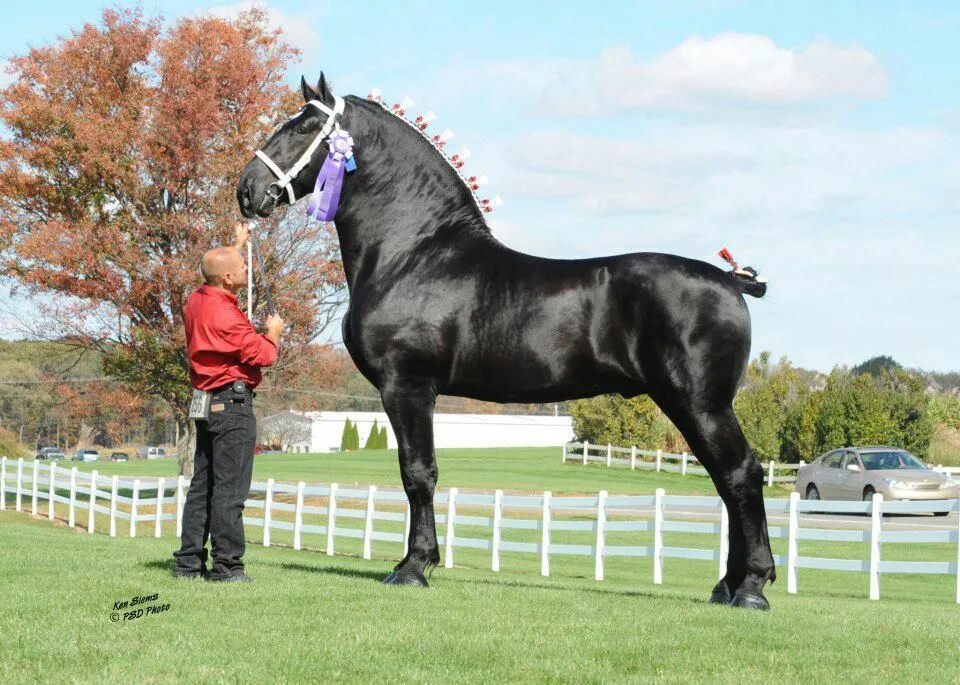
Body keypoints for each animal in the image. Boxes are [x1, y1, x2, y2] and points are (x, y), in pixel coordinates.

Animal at [236, 76, 776, 608]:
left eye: (304, 126)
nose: (247, 189)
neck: (415, 254)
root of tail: (730, 281)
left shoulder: (406, 386)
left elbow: (418, 472)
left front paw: (413, 567)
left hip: (701, 403)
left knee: (741, 475)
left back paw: (751, 587)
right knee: (726, 481)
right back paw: (728, 587)